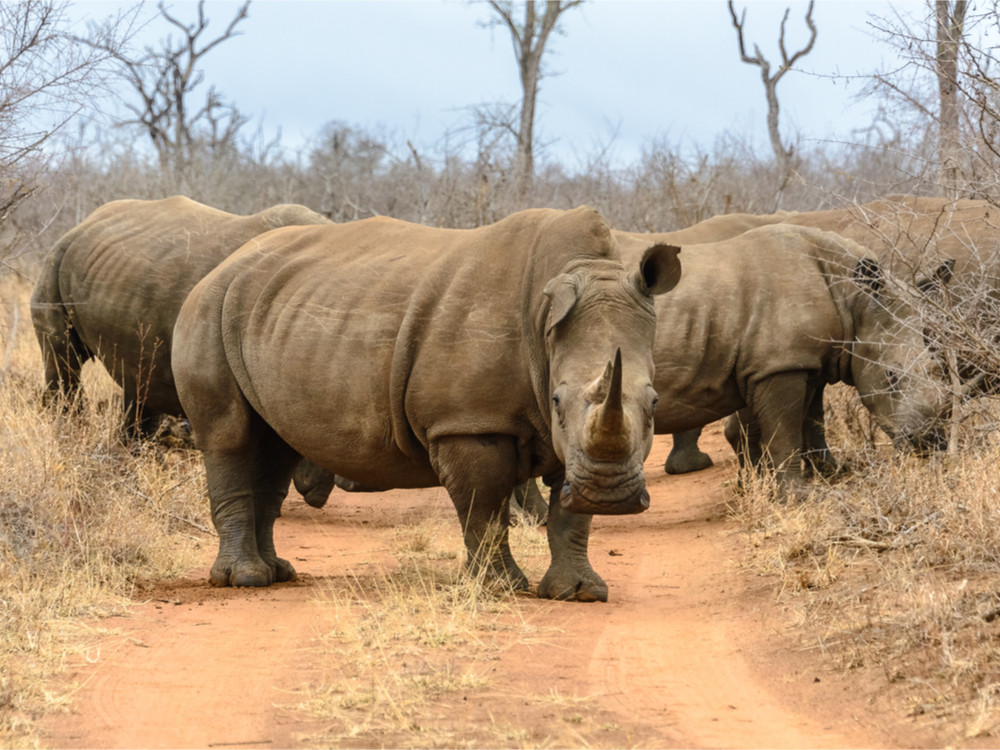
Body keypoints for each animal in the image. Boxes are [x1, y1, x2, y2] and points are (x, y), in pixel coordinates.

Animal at [174, 207, 680, 604]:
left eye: (654, 401)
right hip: (207, 309)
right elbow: (484, 508)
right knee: (231, 437)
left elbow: (570, 515)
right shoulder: (467, 423)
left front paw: (579, 592)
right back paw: (246, 581)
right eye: (557, 400)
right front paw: (499, 589)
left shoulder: (568, 446)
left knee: (275, 442)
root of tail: (218, 268)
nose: (610, 495)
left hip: (272, 315)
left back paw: (277, 573)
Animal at [616, 223, 952, 494]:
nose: (931, 442)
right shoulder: (779, 365)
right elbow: (784, 431)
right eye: (891, 376)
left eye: (943, 371)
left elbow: (810, 420)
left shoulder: (801, 360)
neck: (854, 302)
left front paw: (827, 474)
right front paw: (796, 495)